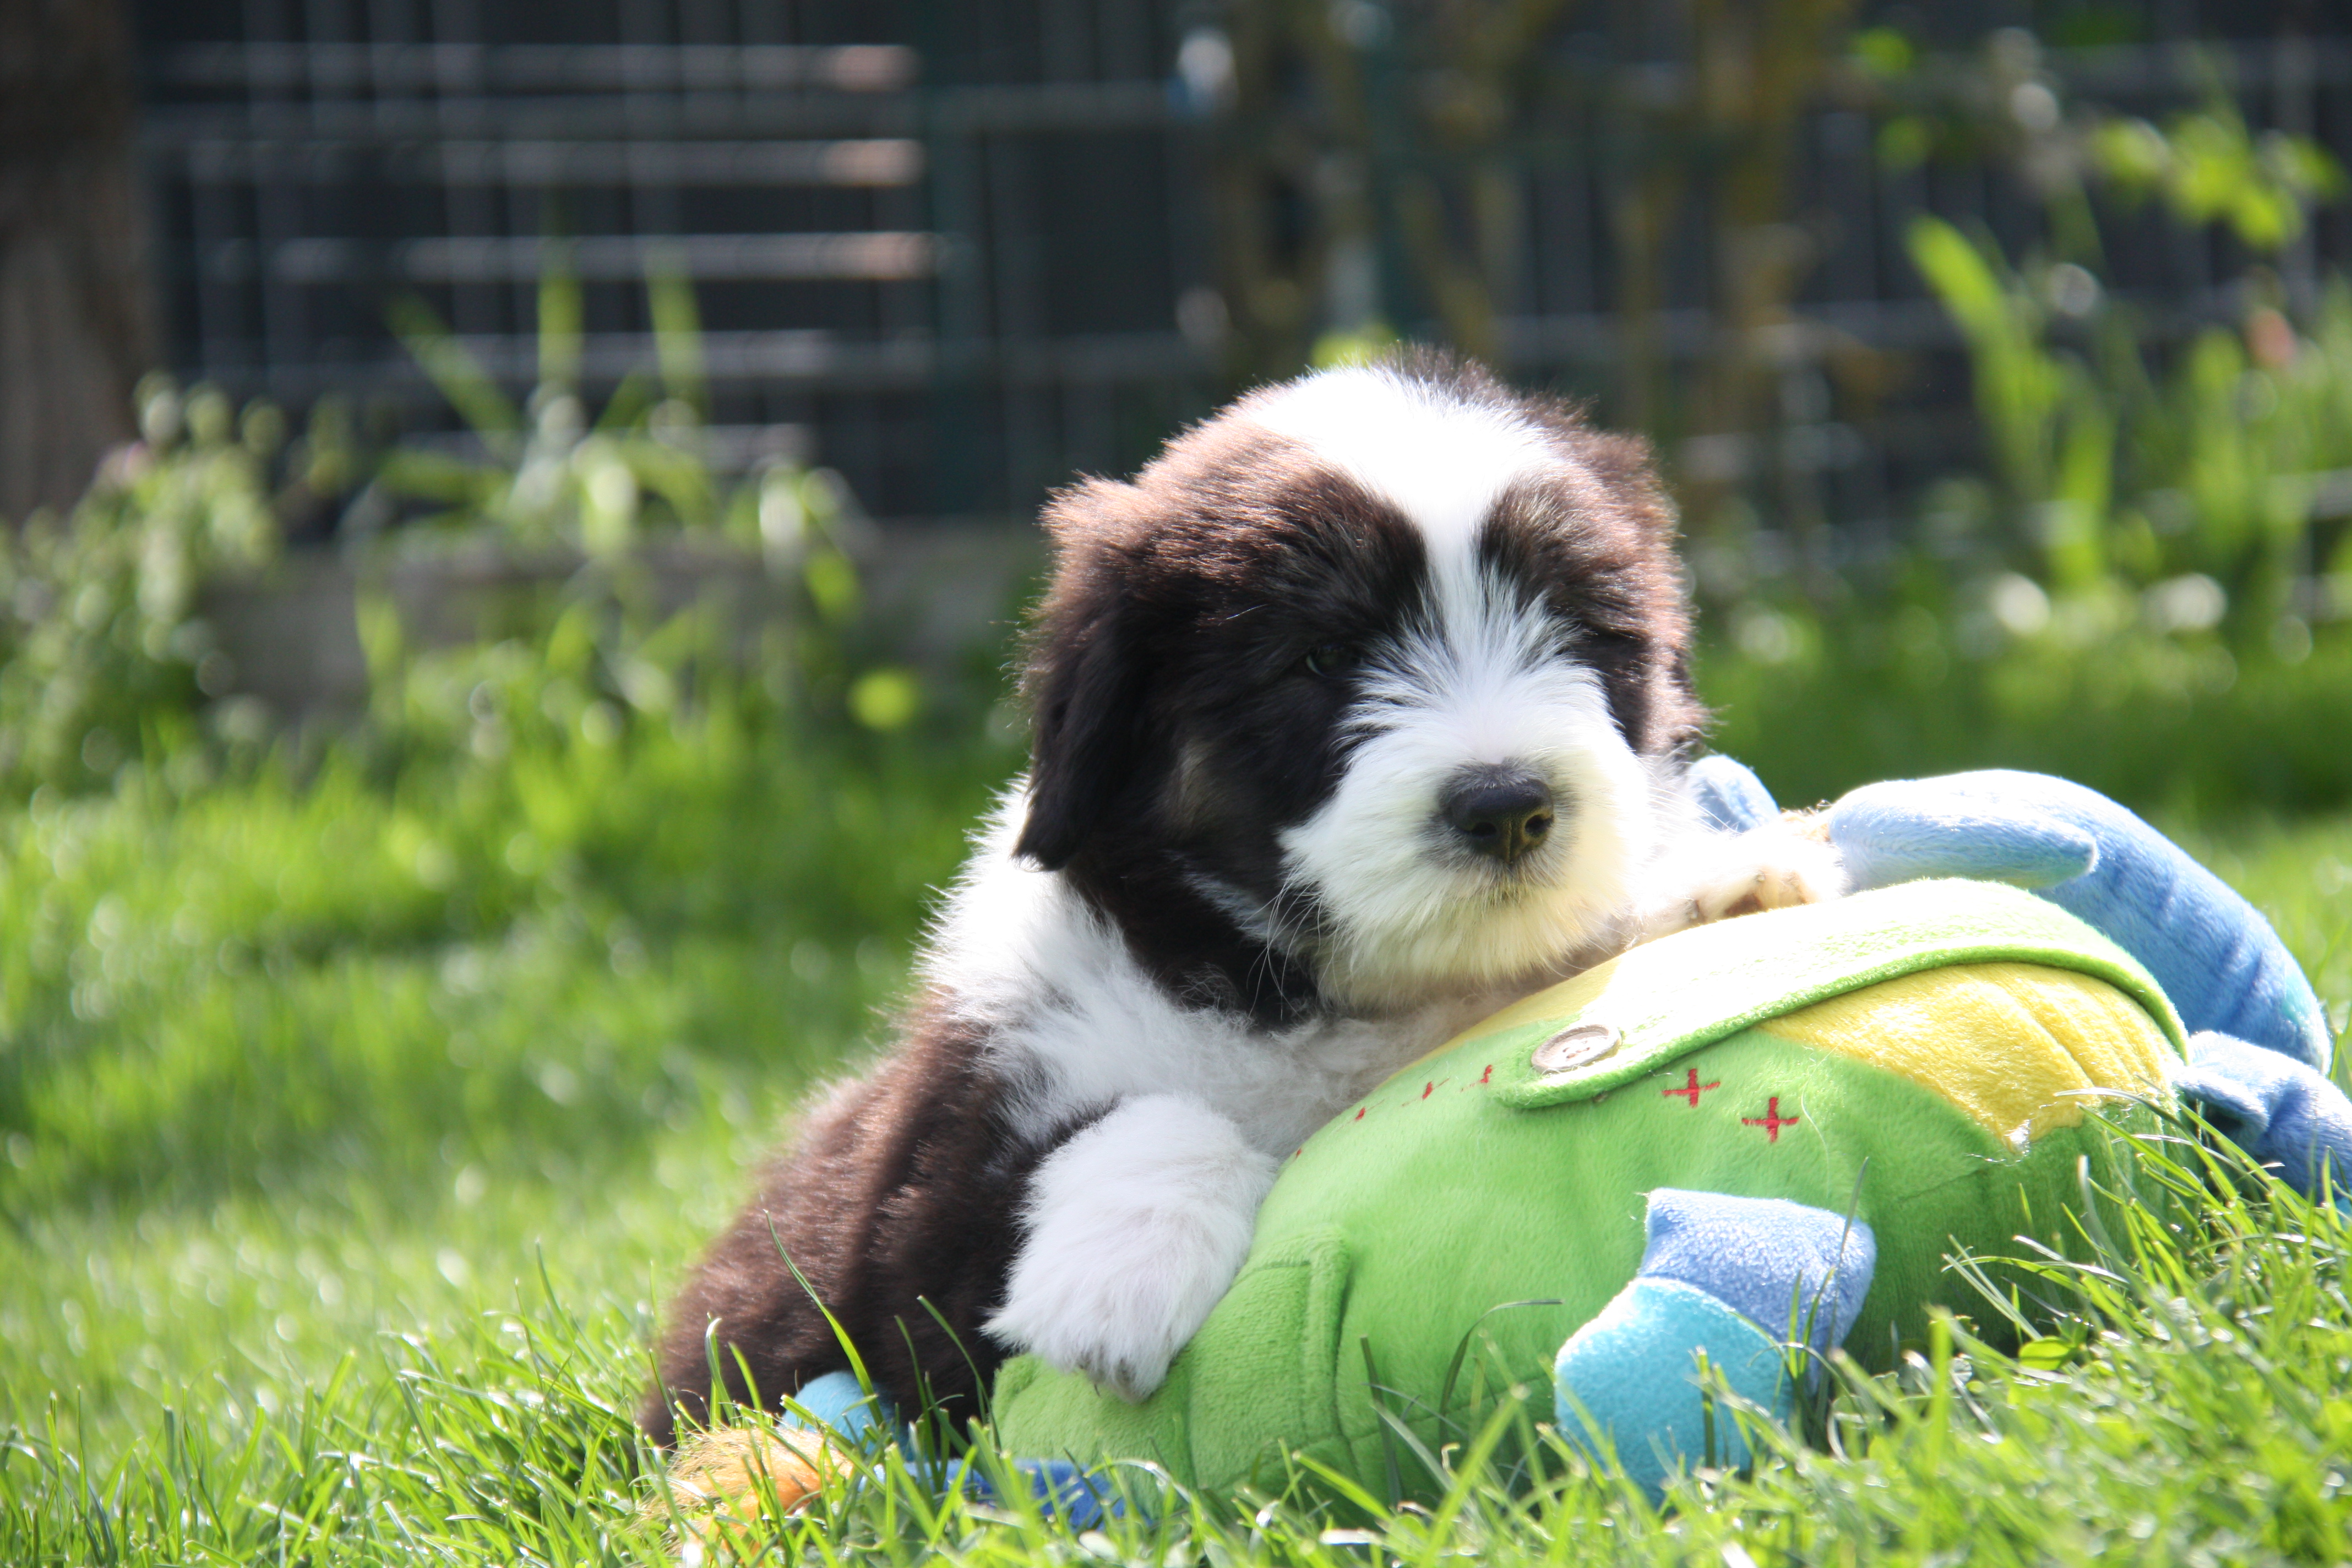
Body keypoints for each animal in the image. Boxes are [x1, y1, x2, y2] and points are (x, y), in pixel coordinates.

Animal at [641, 355, 1842, 1448]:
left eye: (1577, 633)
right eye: (1321, 655)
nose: (1507, 805)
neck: (1333, 991)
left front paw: (1730, 886)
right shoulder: (920, 1231)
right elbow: (1145, 1119)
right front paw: (1117, 1278)